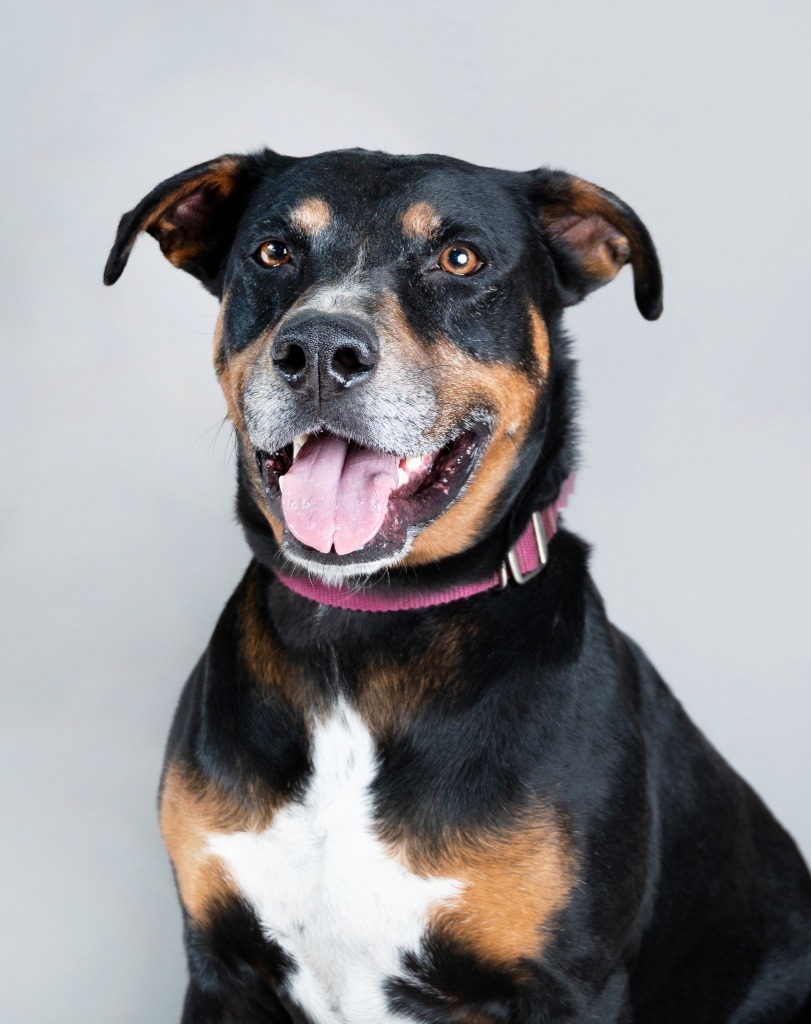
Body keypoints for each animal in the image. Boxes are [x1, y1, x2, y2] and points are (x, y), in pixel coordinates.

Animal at [105, 149, 811, 1024]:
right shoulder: (221, 965)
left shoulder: (568, 985)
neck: (361, 636)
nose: (318, 350)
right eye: (272, 252)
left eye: (460, 258)